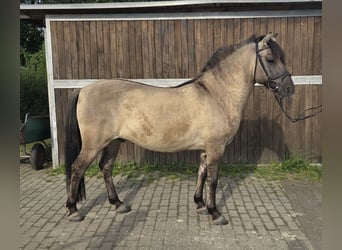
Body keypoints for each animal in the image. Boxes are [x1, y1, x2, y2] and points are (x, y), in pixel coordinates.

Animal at [64, 32, 294, 226]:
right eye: (271, 59)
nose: (289, 89)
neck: (216, 94)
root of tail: (83, 90)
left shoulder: (206, 149)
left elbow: (201, 173)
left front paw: (200, 204)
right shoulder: (216, 148)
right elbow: (213, 180)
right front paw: (215, 213)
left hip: (113, 142)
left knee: (106, 167)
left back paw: (118, 204)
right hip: (93, 145)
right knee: (77, 168)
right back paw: (73, 210)